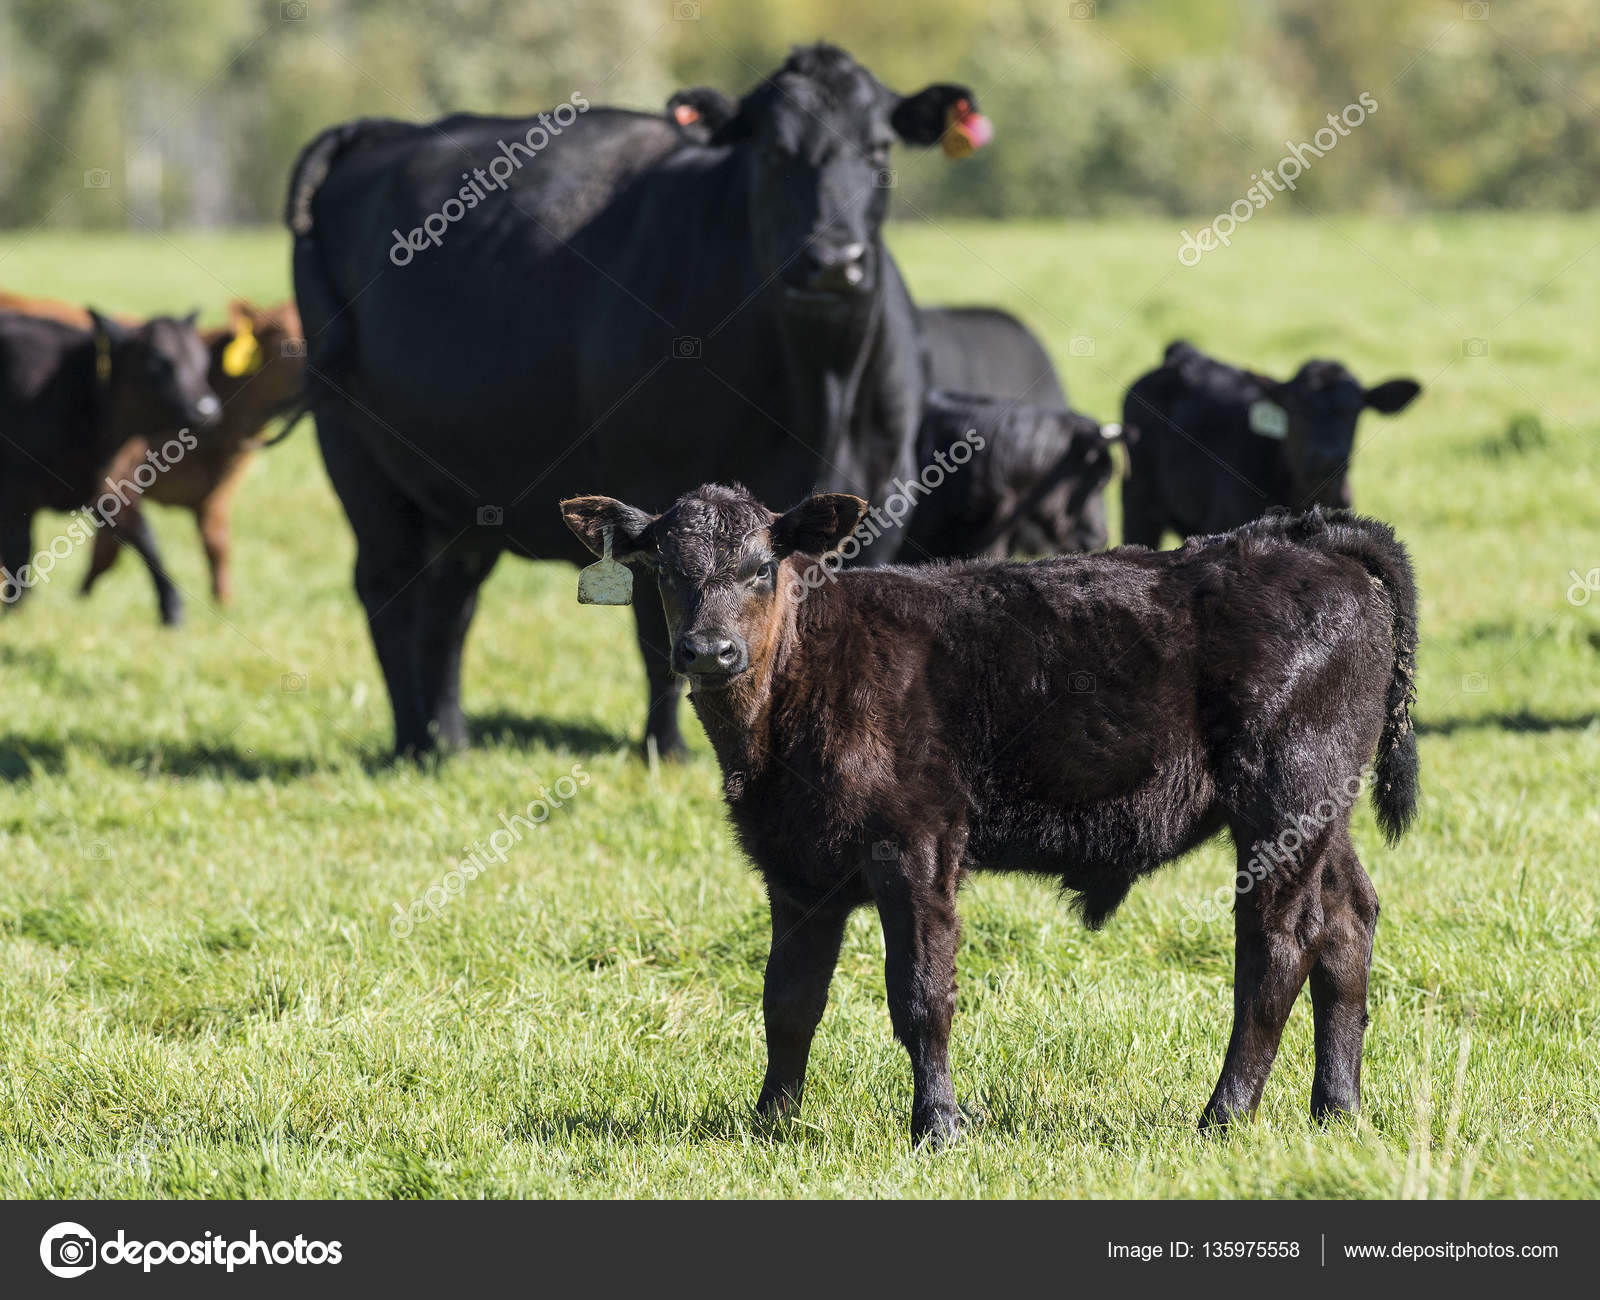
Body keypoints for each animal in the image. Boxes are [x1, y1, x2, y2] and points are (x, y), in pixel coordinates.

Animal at [0, 308, 220, 618]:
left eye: (203, 360)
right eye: (156, 362)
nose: (207, 410)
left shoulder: (113, 484)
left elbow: (145, 536)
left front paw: (173, 612)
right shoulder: (15, 493)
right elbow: (19, 551)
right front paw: (18, 610)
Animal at [287, 43, 993, 759]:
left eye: (879, 148)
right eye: (772, 151)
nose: (833, 261)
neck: (821, 390)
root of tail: (385, 132)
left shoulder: (883, 499)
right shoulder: (653, 489)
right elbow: (660, 638)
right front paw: (668, 751)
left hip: (459, 494)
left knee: (449, 602)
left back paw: (451, 742)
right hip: (355, 457)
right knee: (388, 590)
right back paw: (412, 741)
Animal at [562, 483, 1420, 1146]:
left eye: (761, 567)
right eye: (667, 571)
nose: (710, 652)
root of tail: (1309, 537)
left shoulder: (917, 843)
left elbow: (921, 996)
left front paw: (937, 1126)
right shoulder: (794, 866)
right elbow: (789, 998)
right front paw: (771, 1122)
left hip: (1285, 795)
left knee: (1278, 946)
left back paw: (1224, 1116)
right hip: (1323, 811)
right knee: (1348, 922)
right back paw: (1338, 1111)